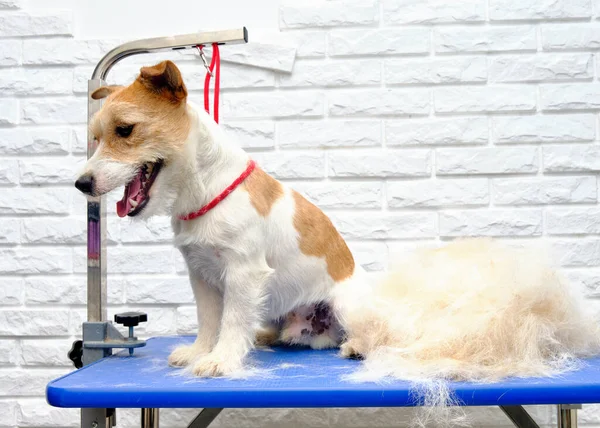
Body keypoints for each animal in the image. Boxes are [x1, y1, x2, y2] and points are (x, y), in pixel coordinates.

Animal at [75, 61, 366, 378]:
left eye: (125, 130)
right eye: (95, 138)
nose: (81, 184)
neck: (206, 193)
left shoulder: (243, 273)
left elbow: (233, 320)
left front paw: (221, 359)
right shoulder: (201, 276)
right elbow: (209, 319)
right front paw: (199, 351)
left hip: (346, 308)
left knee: (373, 333)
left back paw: (356, 346)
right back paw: (266, 336)